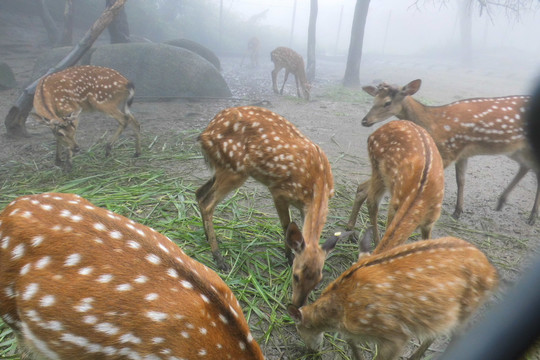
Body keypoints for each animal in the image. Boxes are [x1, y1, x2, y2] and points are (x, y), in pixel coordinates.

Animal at [194, 105, 338, 308]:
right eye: (296, 276)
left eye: (319, 281)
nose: (297, 306)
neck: (317, 184)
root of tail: (206, 132)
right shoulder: (278, 191)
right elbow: (286, 225)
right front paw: (288, 256)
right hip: (234, 169)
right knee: (207, 203)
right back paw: (219, 258)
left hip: (222, 168)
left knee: (199, 193)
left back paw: (209, 238)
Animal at [288, 236, 500, 360]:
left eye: (299, 330)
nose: (310, 351)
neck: (341, 311)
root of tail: (493, 273)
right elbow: (351, 343)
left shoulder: (394, 333)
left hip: (468, 306)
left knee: (459, 334)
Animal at [346, 120, 442, 253]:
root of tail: (373, 134)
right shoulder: (394, 205)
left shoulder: (430, 221)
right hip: (378, 169)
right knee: (371, 201)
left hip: (382, 176)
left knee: (362, 189)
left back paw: (351, 230)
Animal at [360, 79, 536, 224]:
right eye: (373, 99)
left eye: (387, 102)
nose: (365, 121)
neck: (433, 123)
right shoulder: (461, 153)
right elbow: (461, 180)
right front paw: (458, 211)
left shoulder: (450, 150)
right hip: (515, 150)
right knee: (527, 167)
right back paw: (503, 203)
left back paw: (531, 217)